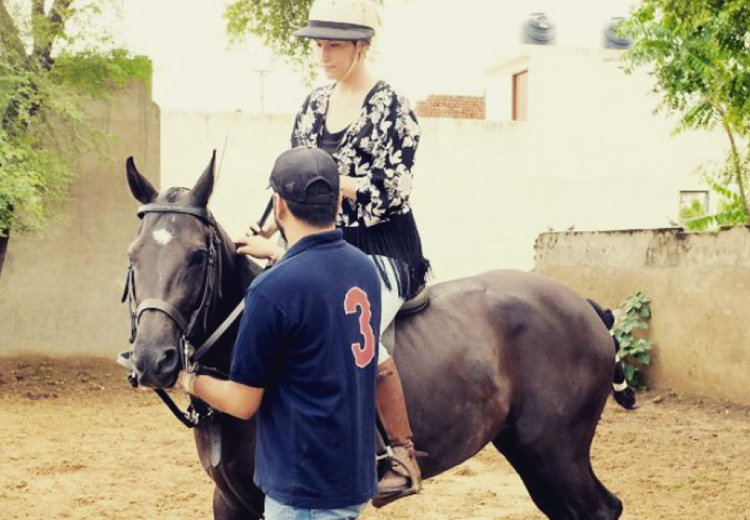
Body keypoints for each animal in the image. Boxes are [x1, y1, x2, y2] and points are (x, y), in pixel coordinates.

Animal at [125, 156, 628, 520]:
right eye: (133, 254)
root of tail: (585, 306)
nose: (153, 359)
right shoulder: (230, 500)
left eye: (197, 255)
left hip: (556, 453)